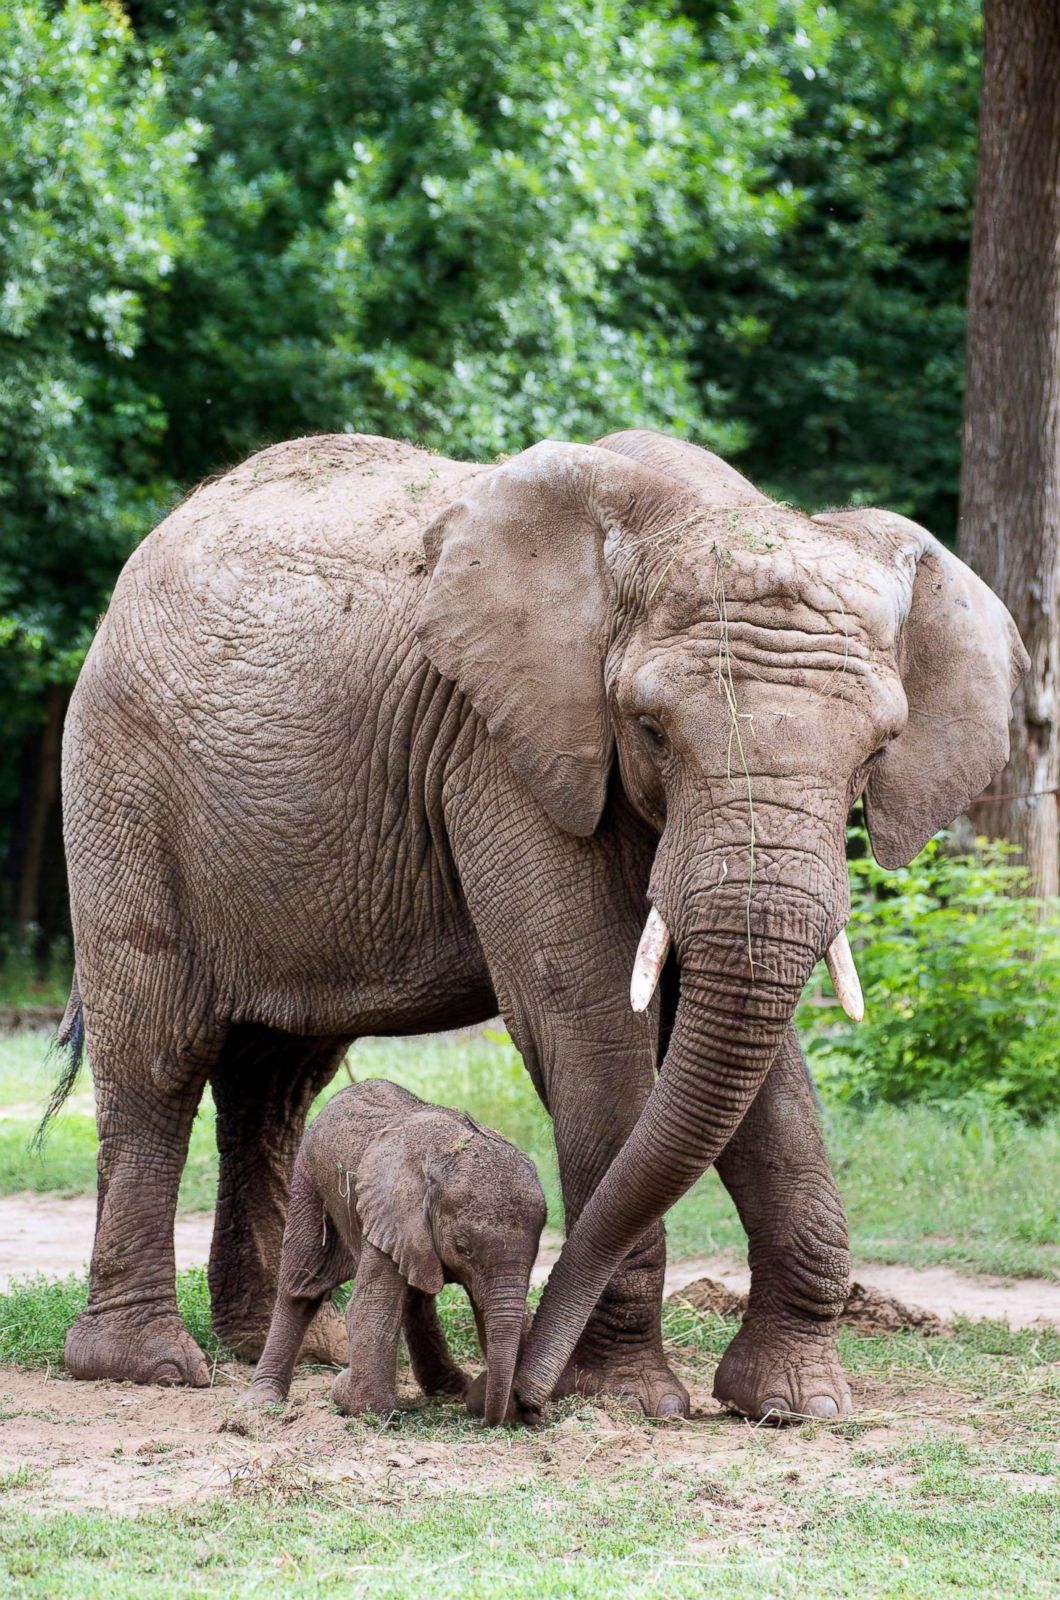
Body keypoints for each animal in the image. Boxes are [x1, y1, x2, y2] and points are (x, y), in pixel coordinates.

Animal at [249, 1075, 547, 1427]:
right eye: (463, 1249)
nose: (490, 1417)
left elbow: (492, 1311)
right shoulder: (390, 1212)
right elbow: (371, 1309)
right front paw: (363, 1406)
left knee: (415, 1295)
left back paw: (449, 1388)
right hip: (309, 1177)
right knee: (301, 1286)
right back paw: (261, 1399)